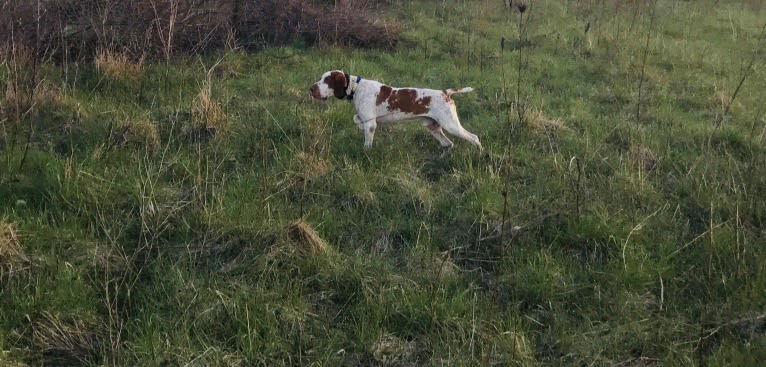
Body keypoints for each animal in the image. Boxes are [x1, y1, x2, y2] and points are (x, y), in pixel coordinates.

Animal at [310, 69, 480, 150]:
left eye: (326, 80)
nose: (311, 88)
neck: (356, 88)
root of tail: (446, 92)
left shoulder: (371, 124)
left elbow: (367, 144)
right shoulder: (366, 119)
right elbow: (356, 119)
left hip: (451, 125)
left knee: (474, 138)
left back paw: (479, 153)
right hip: (433, 126)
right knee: (448, 144)